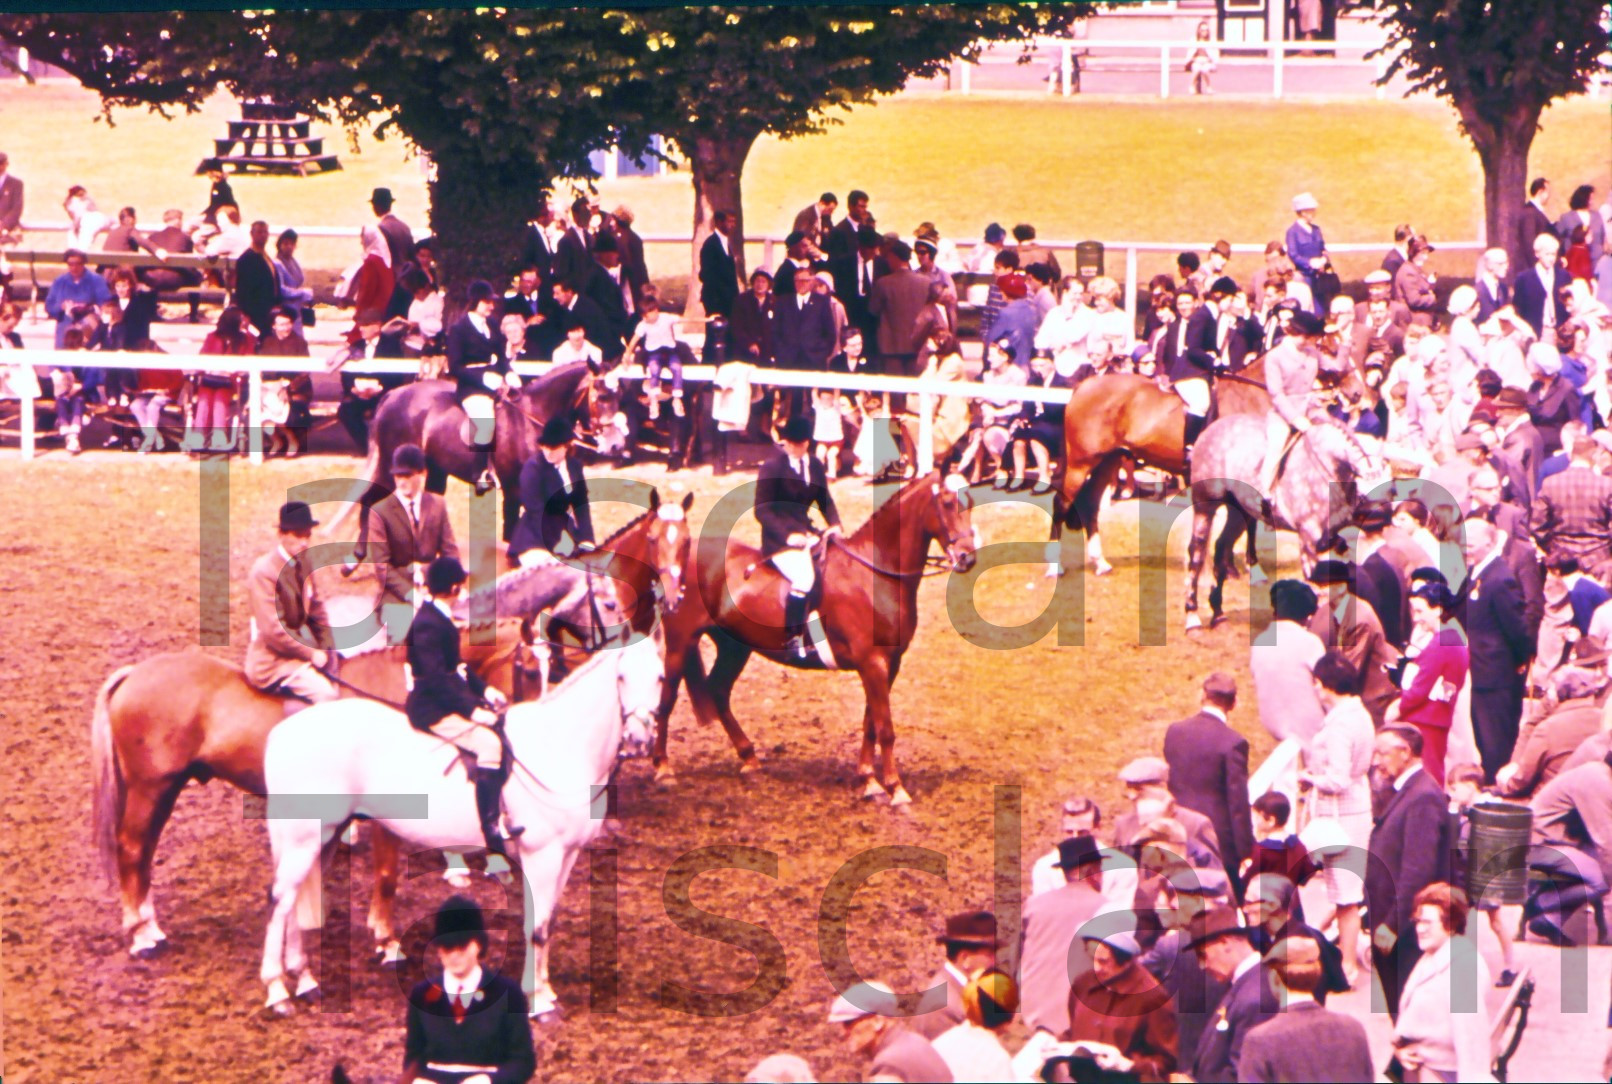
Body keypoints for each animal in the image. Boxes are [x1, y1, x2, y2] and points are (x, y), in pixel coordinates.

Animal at [91, 564, 612, 961]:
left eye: (554, 669)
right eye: (527, 669)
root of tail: (134, 673)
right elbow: (386, 876)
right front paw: (387, 939)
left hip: (165, 787)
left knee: (142, 852)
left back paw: (148, 925)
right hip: (151, 786)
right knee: (132, 849)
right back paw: (142, 936)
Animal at [257, 625, 660, 1019]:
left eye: (659, 677)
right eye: (621, 677)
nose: (640, 738)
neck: (556, 747)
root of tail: (282, 733)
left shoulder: (568, 854)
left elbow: (550, 921)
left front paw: (546, 991)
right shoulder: (541, 856)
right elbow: (537, 925)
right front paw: (537, 1001)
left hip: (321, 837)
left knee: (293, 900)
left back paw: (304, 980)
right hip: (304, 837)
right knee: (280, 900)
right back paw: (277, 992)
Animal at [324, 361, 625, 564]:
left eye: (619, 394)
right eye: (602, 395)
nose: (616, 445)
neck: (531, 420)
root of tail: (392, 396)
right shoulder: (515, 488)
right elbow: (512, 529)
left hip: (434, 472)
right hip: (391, 470)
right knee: (369, 500)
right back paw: (359, 555)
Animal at [654, 471, 980, 809]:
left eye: (970, 501)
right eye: (947, 503)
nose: (967, 556)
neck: (874, 573)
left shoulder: (888, 664)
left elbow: (870, 723)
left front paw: (868, 780)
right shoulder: (872, 663)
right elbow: (885, 728)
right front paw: (895, 787)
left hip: (734, 647)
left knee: (718, 690)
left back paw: (749, 758)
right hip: (680, 643)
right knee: (666, 700)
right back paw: (663, 768)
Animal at [1186, 416, 1386, 635]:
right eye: (1366, 479)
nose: (1382, 517)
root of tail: (1211, 429)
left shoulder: (1331, 538)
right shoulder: (1309, 540)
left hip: (1239, 512)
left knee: (1221, 547)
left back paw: (1218, 615)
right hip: (1205, 506)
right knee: (1196, 553)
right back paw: (1192, 618)